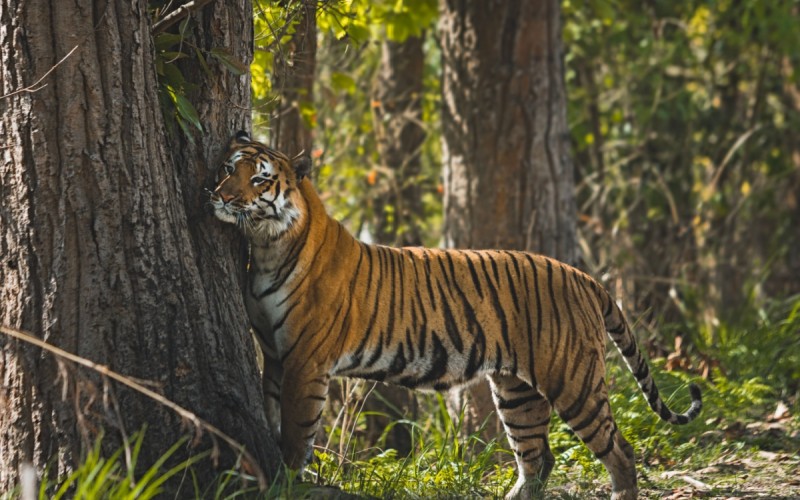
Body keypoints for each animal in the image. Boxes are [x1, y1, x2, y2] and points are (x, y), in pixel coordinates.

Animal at [209, 131, 702, 500]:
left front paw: (287, 482)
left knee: (620, 450)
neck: (267, 245)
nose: (221, 197)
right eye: (228, 168)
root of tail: (583, 277)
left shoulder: (306, 362)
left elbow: (295, 434)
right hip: (517, 392)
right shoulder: (275, 356)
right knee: (537, 459)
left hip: (573, 380)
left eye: (259, 180)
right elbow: (271, 416)